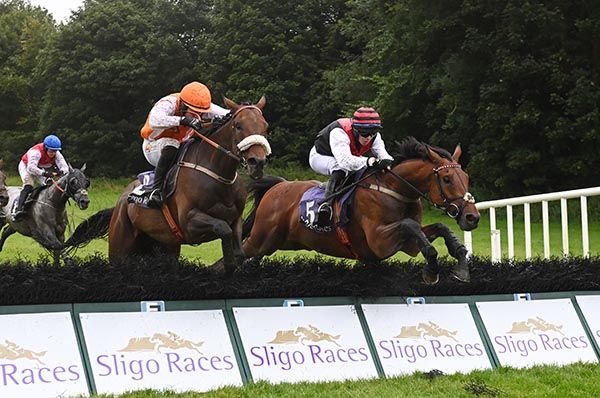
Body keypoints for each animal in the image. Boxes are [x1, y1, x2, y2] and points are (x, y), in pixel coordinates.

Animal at [65, 95, 270, 274]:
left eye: (265, 126)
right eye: (238, 126)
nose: (257, 162)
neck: (218, 176)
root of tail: (120, 202)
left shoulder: (235, 219)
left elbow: (238, 250)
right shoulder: (189, 223)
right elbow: (222, 228)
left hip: (164, 245)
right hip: (120, 246)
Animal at [241, 138, 480, 284]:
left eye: (466, 177)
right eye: (447, 179)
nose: (472, 217)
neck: (395, 189)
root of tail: (277, 187)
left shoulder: (409, 245)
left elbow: (439, 227)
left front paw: (461, 266)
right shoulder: (379, 242)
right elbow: (409, 224)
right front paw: (431, 271)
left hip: (275, 243)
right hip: (261, 239)